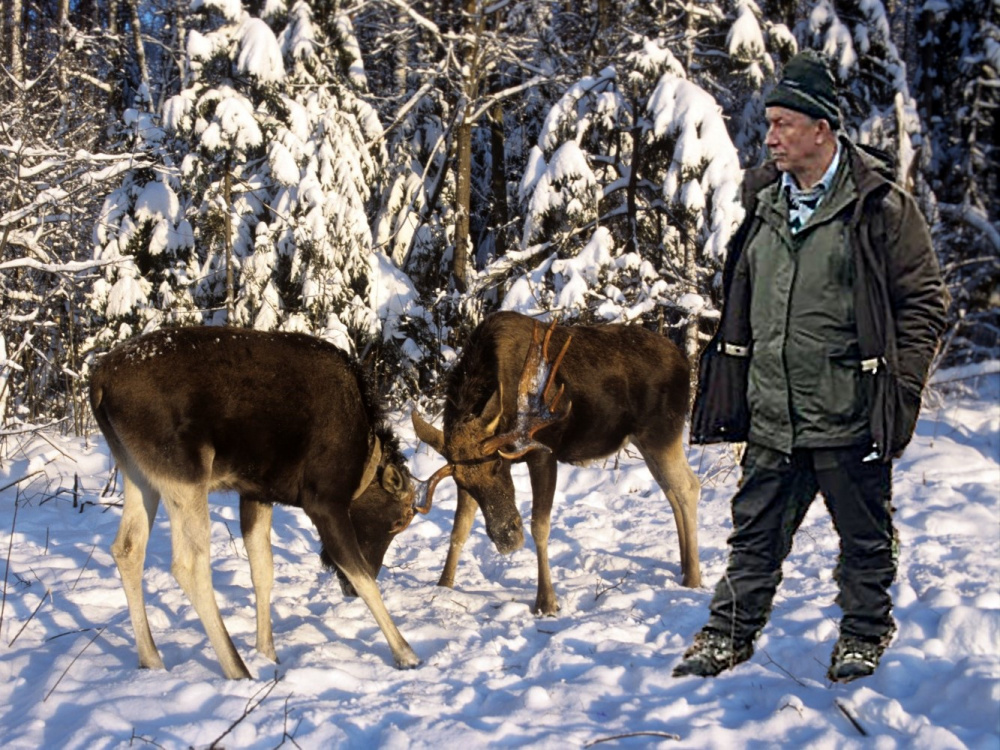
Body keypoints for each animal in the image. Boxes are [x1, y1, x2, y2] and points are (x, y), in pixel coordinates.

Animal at [87, 326, 426, 680]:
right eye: (398, 521)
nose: (346, 591)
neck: (363, 460)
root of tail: (98, 383)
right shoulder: (324, 500)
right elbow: (363, 577)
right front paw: (405, 653)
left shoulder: (256, 493)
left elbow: (263, 570)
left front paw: (267, 651)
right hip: (185, 472)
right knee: (189, 564)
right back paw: (237, 668)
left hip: (137, 472)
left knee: (127, 548)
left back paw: (152, 659)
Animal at [410, 312, 700, 616]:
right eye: (462, 481)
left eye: (497, 465)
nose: (506, 539)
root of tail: (684, 362)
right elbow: (459, 528)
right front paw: (443, 585)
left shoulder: (544, 451)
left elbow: (540, 526)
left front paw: (546, 602)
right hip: (645, 440)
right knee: (671, 491)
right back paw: (683, 565)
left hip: (661, 432)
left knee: (688, 486)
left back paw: (693, 576)